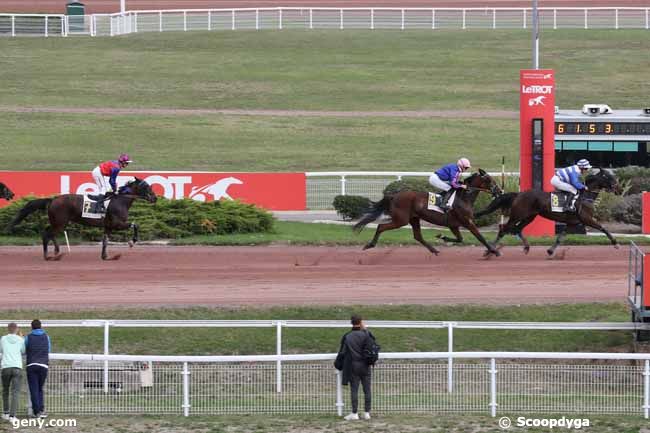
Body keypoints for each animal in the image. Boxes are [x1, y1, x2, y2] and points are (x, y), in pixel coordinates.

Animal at [8, 176, 156, 260]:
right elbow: (135, 225)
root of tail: (53, 199)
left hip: (58, 222)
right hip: (60, 222)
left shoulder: (108, 226)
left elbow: (105, 241)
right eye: (146, 186)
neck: (120, 200)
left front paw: (105, 256)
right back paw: (48, 255)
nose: (154, 198)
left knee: (49, 233)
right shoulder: (117, 223)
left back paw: (56, 251)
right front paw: (132, 242)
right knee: (47, 234)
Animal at [354, 169, 502, 256]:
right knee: (381, 227)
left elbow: (460, 239)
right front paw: (493, 251)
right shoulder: (467, 222)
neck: (463, 197)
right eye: (489, 180)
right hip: (401, 220)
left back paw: (434, 250)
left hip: (414, 218)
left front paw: (442, 236)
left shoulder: (454, 225)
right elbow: (480, 237)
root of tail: (394, 195)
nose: (499, 191)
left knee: (418, 236)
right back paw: (370, 245)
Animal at [476, 168, 616, 256]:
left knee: (517, 229)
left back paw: (526, 247)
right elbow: (603, 228)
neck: (585, 196)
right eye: (609, 177)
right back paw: (490, 251)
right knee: (504, 229)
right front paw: (615, 243)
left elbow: (560, 237)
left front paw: (550, 251)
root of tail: (518, 194)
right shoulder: (587, 219)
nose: (617, 188)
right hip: (517, 215)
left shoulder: (572, 222)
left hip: (529, 216)